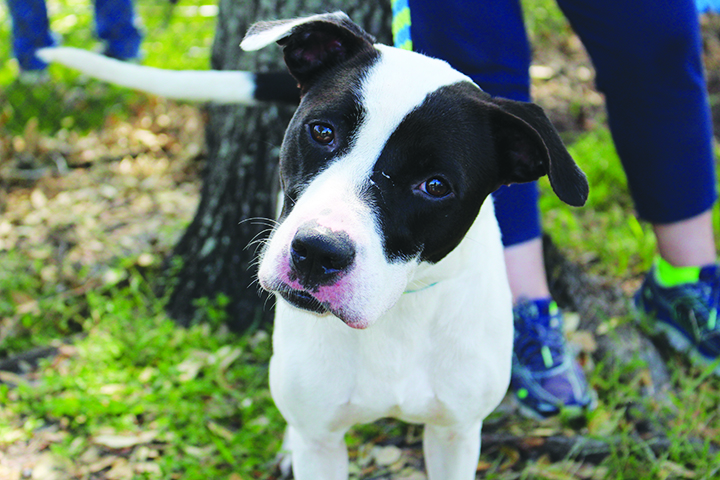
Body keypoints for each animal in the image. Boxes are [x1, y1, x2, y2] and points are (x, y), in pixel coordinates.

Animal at [41, 12, 589, 479]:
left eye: (435, 186)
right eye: (321, 131)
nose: (318, 252)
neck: (398, 312)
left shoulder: (455, 433)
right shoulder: (322, 441)